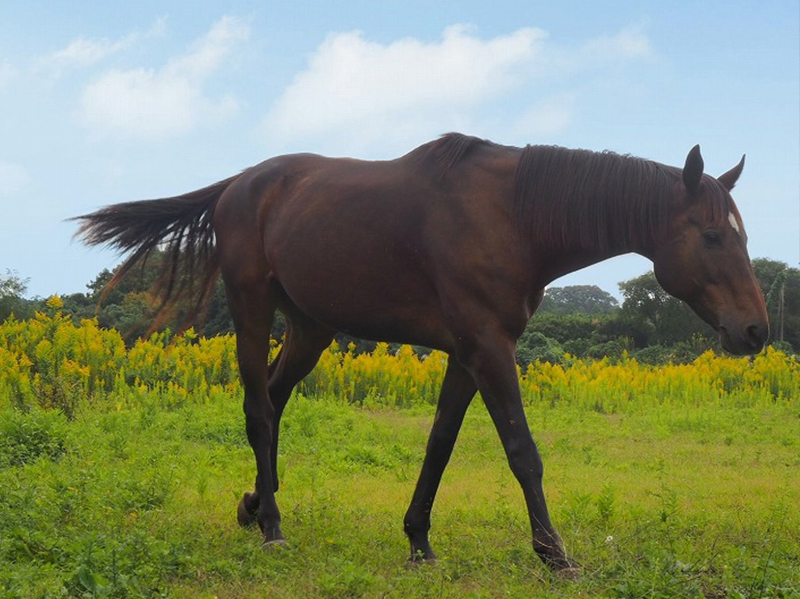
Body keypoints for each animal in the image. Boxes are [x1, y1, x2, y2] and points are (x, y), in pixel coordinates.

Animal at [75, 134, 768, 576]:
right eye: (712, 235)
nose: (756, 331)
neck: (514, 217)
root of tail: (240, 184)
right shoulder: (489, 348)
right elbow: (523, 452)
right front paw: (555, 553)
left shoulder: (468, 352)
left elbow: (440, 444)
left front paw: (418, 541)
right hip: (252, 307)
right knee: (260, 411)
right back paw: (272, 526)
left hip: (310, 328)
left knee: (272, 397)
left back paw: (253, 505)